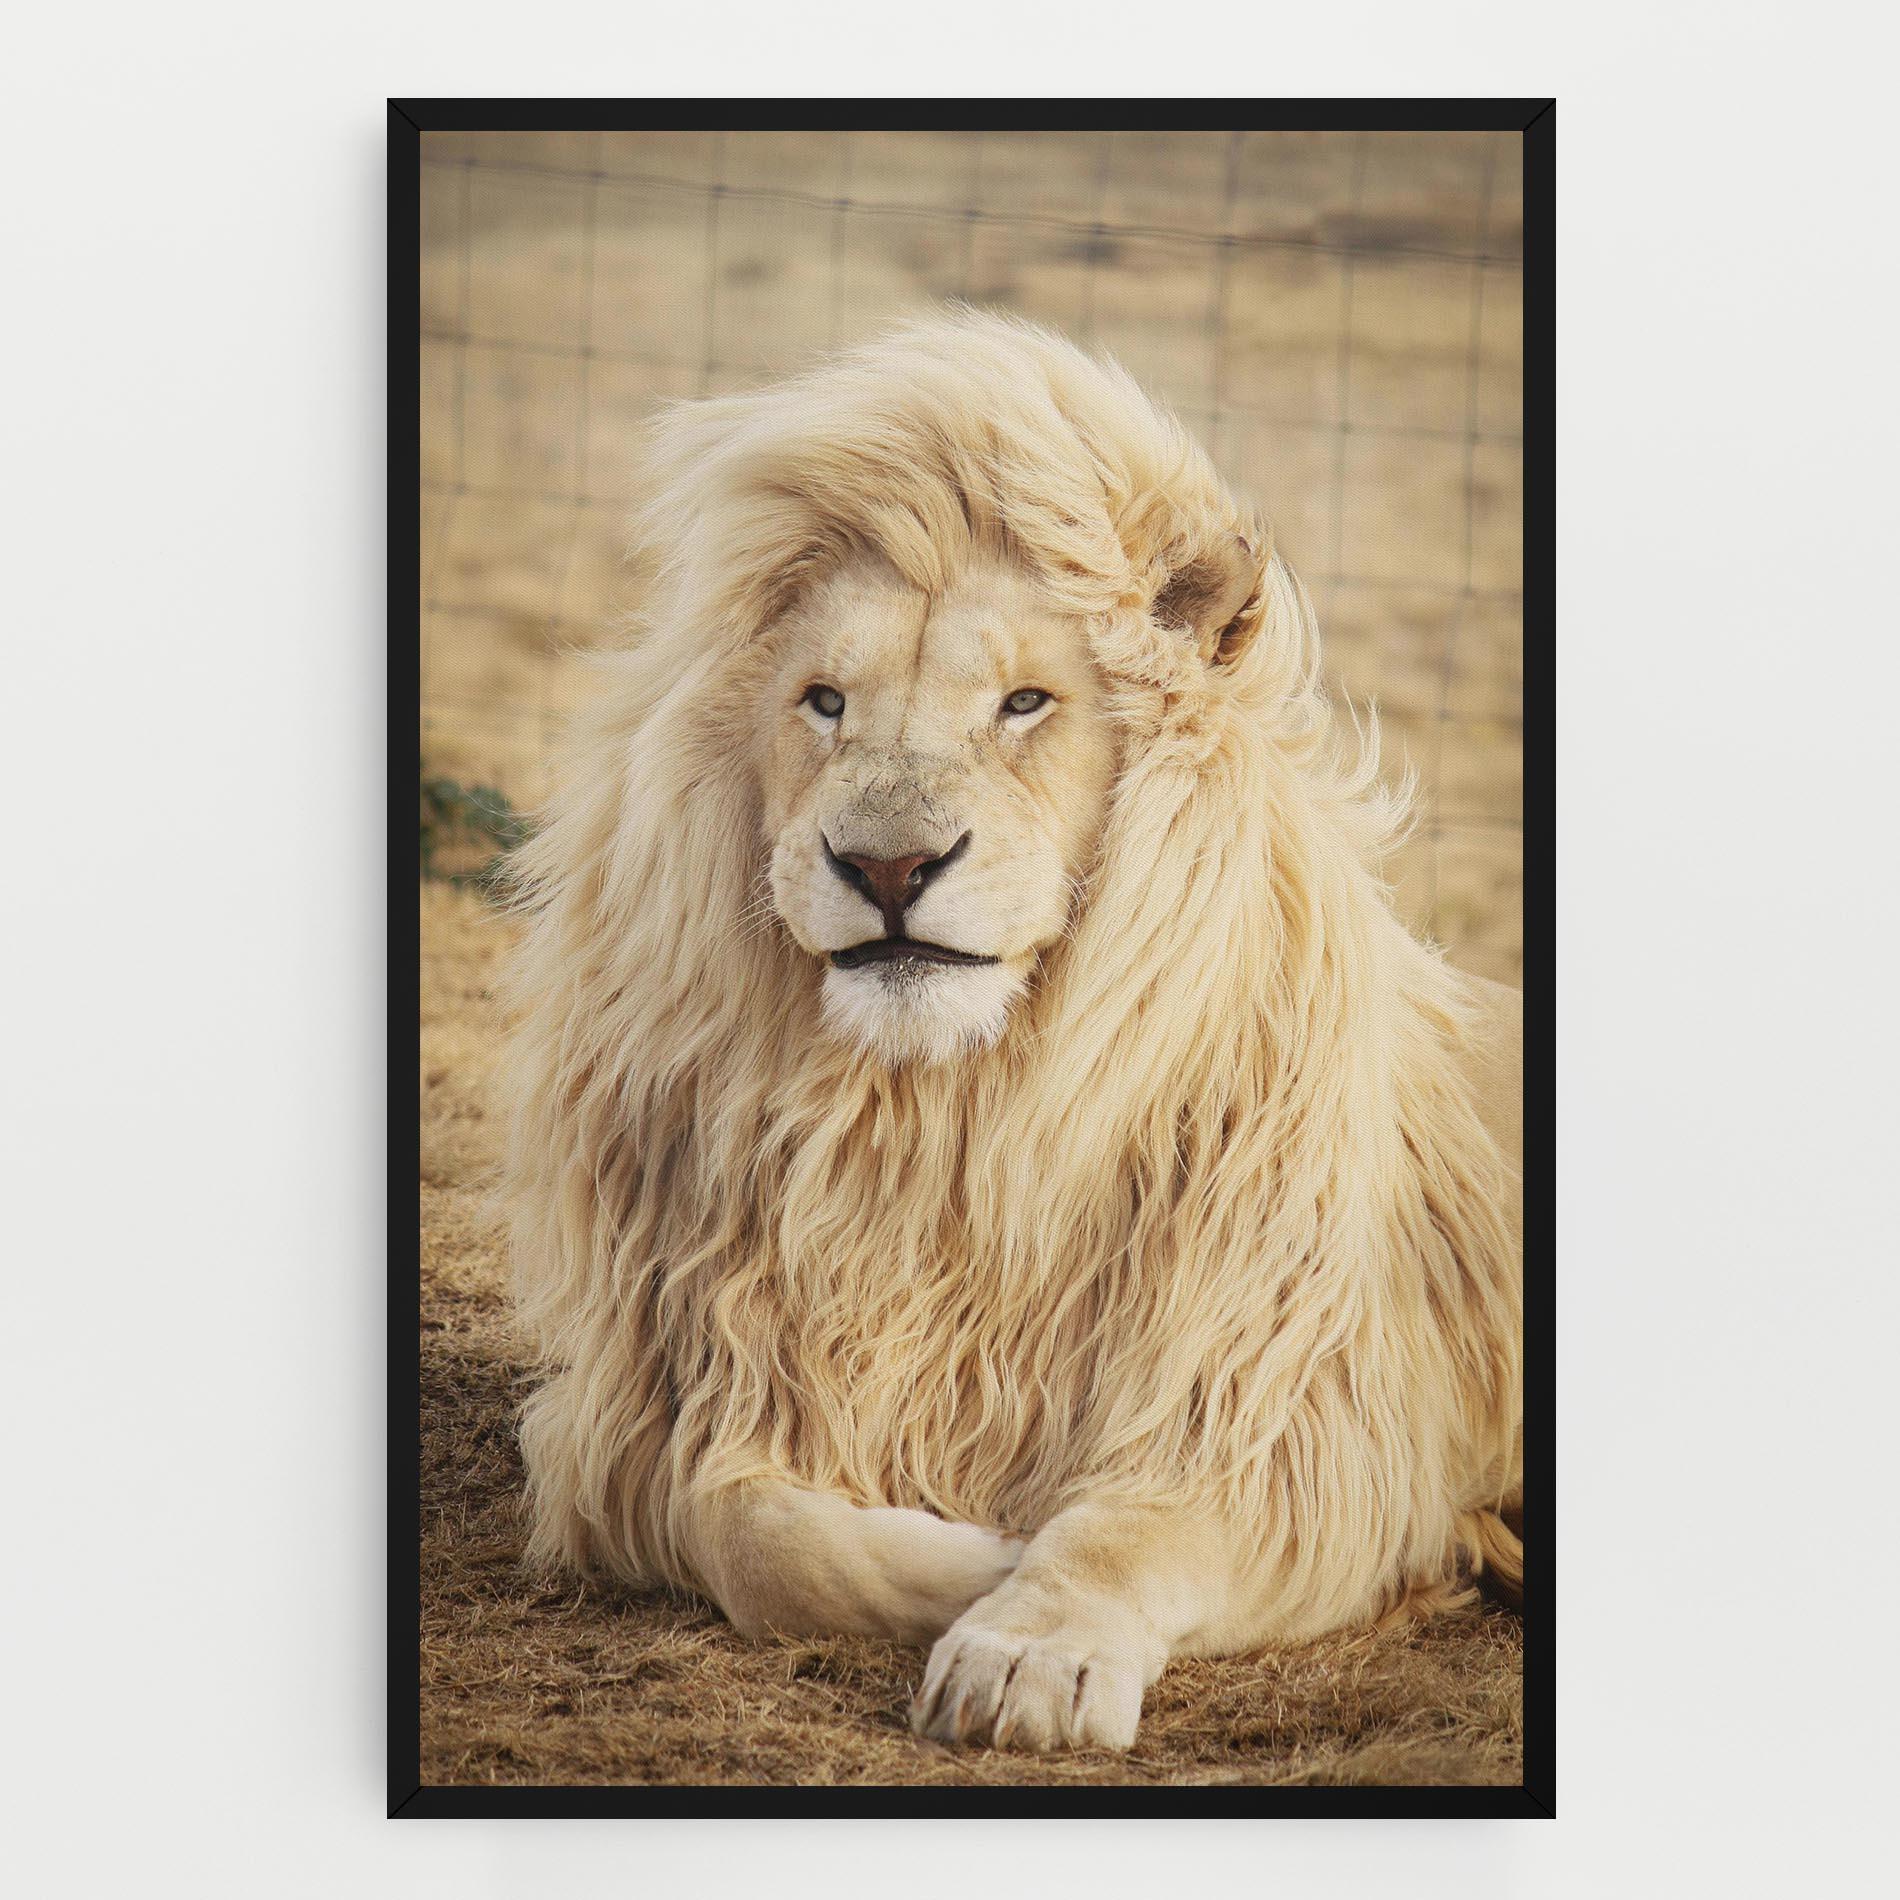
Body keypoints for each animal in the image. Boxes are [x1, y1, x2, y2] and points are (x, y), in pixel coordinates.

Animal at [503, 309, 1522, 1754]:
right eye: (824, 701)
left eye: (1025, 703)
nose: (886, 866)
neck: (943, 1121)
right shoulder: (671, 1403)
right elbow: (749, 1530)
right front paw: (974, 1556)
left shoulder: (1290, 1422)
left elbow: (1124, 1529)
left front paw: (1025, 1644)